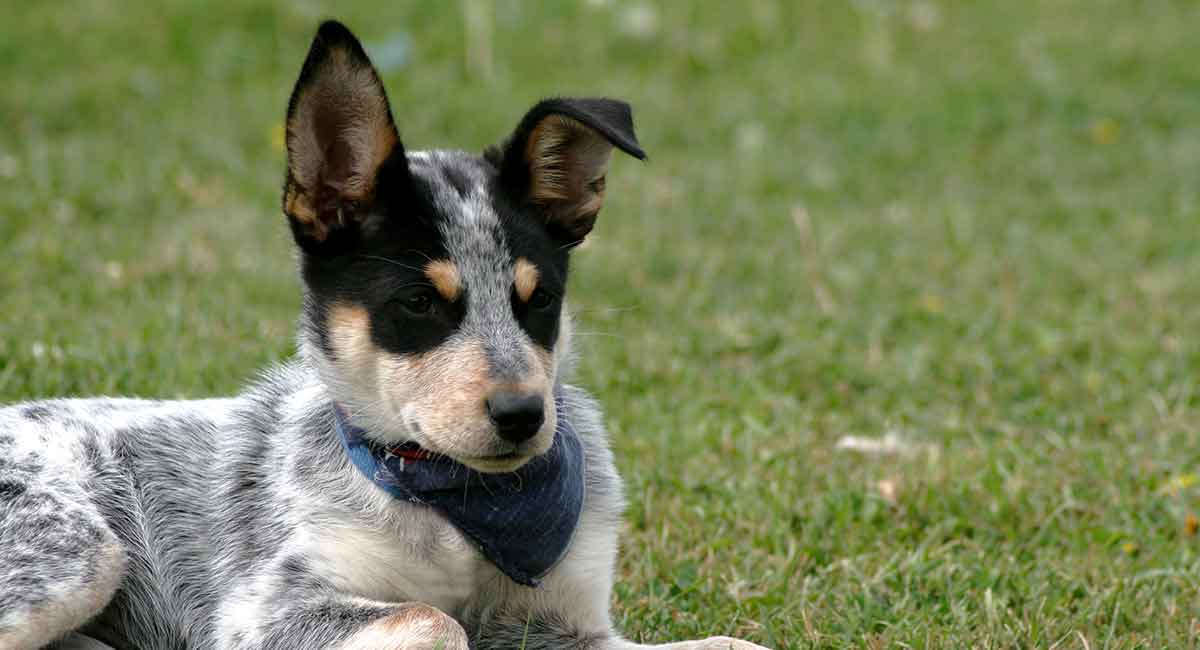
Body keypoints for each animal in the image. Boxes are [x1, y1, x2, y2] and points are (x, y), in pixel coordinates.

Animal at [0, 20, 768, 650]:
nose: (523, 415)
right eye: (419, 303)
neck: (460, 506)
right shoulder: (264, 614)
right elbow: (438, 620)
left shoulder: (568, 625)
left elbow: (732, 643)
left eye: (540, 300)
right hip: (83, 552)